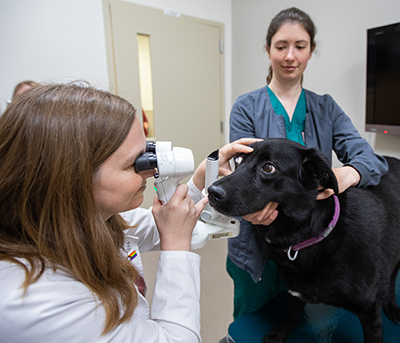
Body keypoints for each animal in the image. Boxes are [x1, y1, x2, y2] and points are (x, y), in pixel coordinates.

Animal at [208, 138, 400, 342]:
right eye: (238, 160)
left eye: (268, 168)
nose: (211, 191)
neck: (310, 235)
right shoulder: (296, 292)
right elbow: (292, 314)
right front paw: (281, 334)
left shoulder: (370, 312)